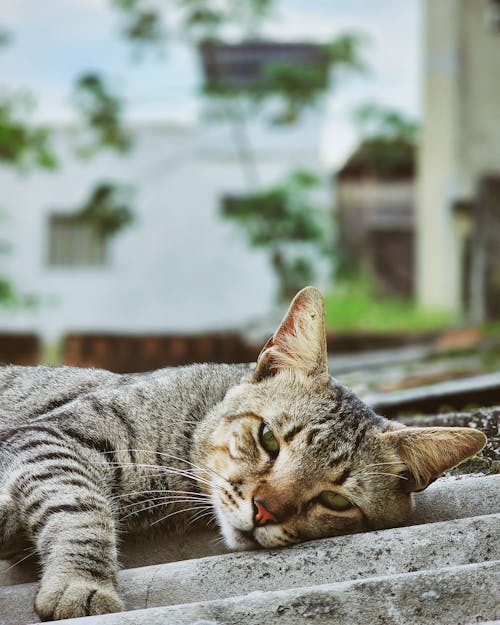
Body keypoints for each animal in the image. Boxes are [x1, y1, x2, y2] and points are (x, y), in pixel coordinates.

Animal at [0, 286, 484, 620]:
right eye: (268, 438)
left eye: (335, 499)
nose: (264, 510)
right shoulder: (58, 436)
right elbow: (80, 511)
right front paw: (81, 583)